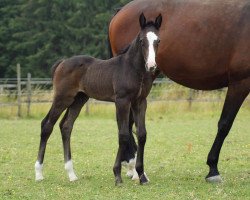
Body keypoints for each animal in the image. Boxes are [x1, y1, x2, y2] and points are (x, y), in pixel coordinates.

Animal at [35, 12, 163, 184]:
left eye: (158, 41)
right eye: (142, 41)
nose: (151, 66)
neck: (132, 68)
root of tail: (62, 63)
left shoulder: (140, 102)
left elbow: (142, 134)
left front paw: (141, 176)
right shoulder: (122, 101)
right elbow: (123, 134)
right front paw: (117, 175)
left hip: (79, 99)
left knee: (66, 126)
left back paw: (71, 174)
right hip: (63, 98)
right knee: (47, 125)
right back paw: (39, 173)